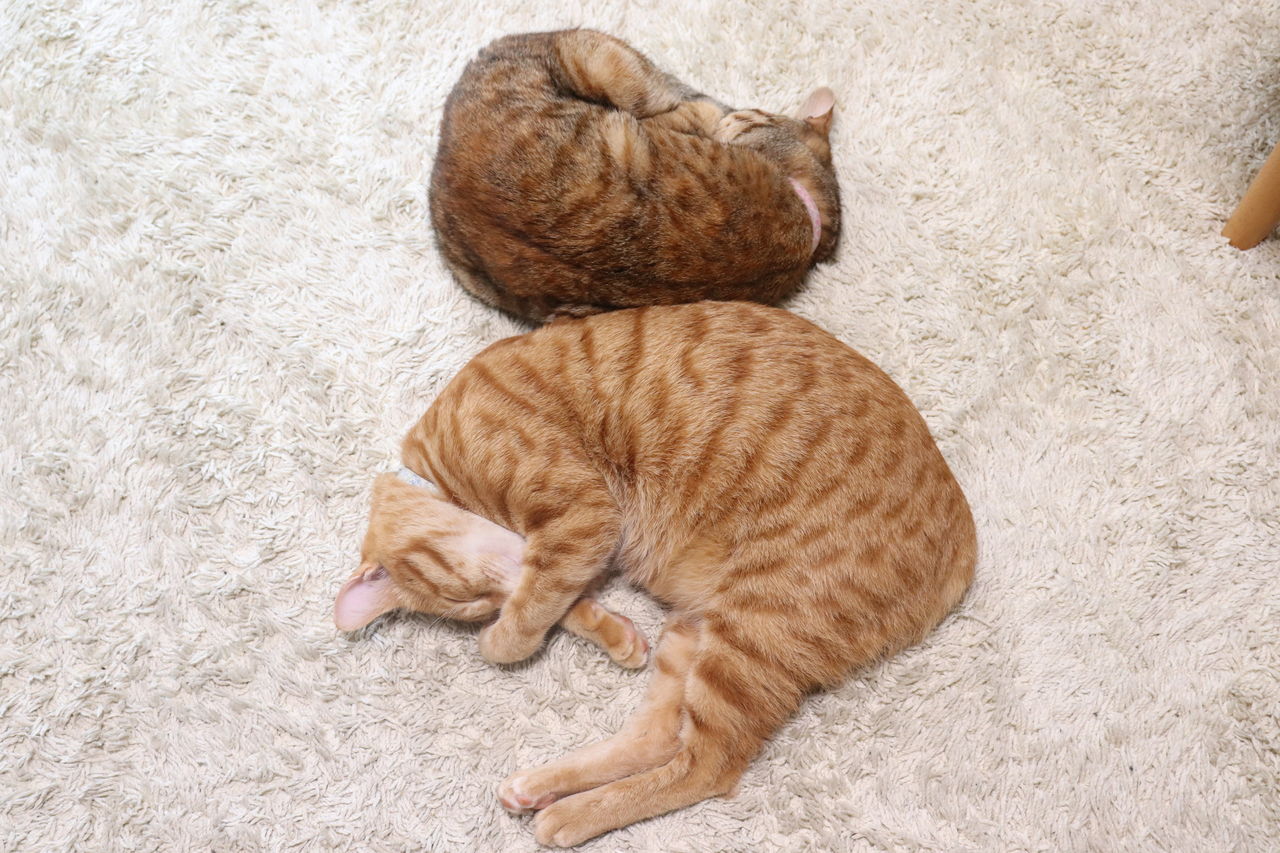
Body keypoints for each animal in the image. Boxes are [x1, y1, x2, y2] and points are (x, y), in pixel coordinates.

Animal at [337, 301, 976, 846]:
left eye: (471, 600)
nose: (490, 606)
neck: (441, 466)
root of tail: (966, 543)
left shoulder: (582, 518)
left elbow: (530, 615)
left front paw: (499, 640)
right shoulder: (574, 549)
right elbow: (560, 602)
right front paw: (605, 633)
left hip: (752, 632)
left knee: (706, 767)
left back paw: (569, 815)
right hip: (699, 631)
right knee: (658, 738)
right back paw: (541, 786)